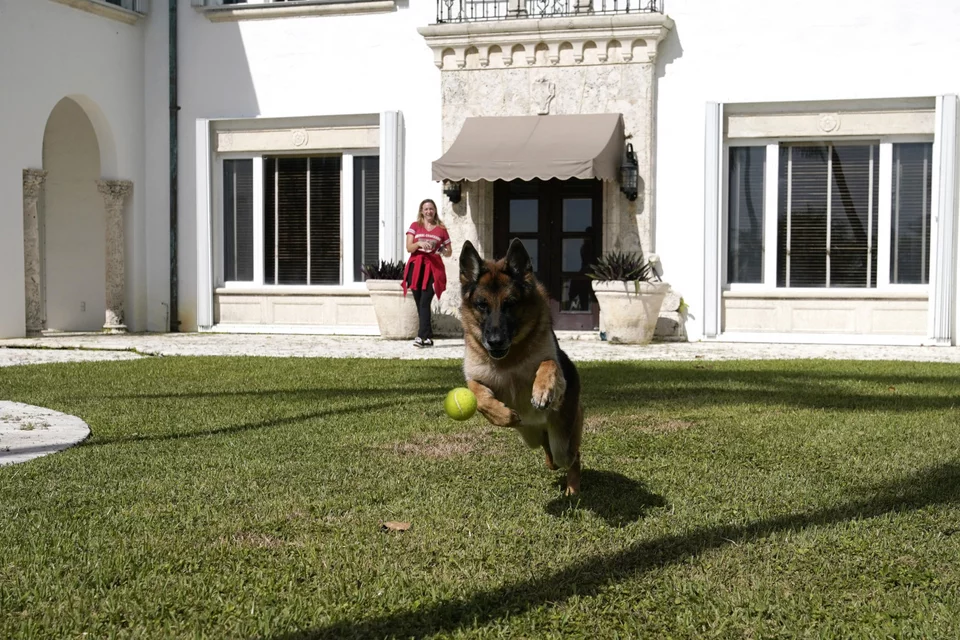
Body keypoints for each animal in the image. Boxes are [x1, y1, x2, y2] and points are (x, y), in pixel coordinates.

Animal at [460, 240, 584, 496]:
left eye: (510, 304)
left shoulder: (555, 369)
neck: (509, 360)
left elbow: (549, 364)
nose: (495, 341)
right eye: (481, 305)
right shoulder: (475, 378)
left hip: (562, 441)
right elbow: (478, 395)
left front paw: (542, 392)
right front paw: (503, 415)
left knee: (572, 456)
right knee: (550, 455)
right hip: (532, 438)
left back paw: (573, 487)